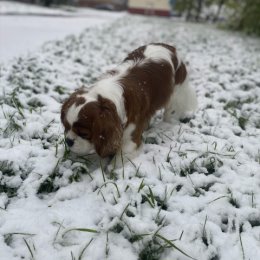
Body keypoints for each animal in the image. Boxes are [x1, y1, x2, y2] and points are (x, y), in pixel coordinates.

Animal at [60, 42, 197, 165]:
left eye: (84, 134)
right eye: (65, 126)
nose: (69, 141)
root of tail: (171, 48)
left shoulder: (130, 140)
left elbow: (117, 161)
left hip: (176, 95)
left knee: (170, 113)